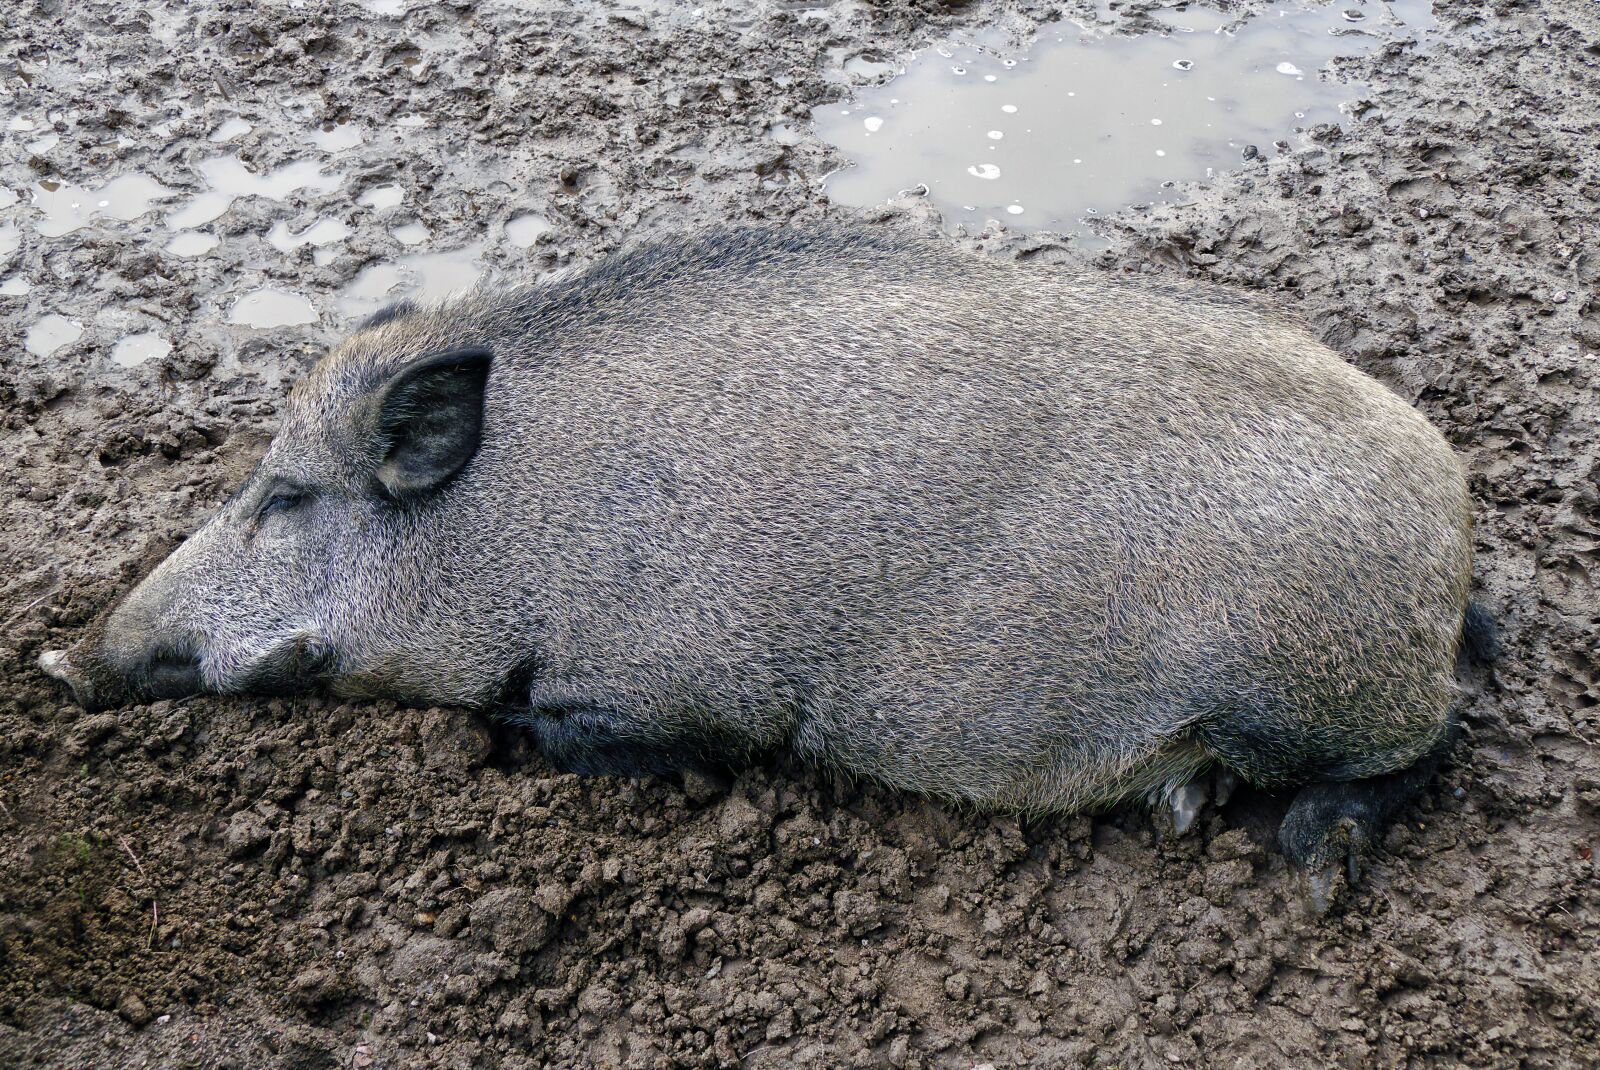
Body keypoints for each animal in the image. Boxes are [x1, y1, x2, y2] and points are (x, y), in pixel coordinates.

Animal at [40, 225, 1490, 903]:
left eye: (284, 495)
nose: (61, 656)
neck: (506, 525)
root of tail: (1455, 513)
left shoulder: (681, 692)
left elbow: (564, 727)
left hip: (1303, 683)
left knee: (1426, 749)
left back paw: (1306, 859)